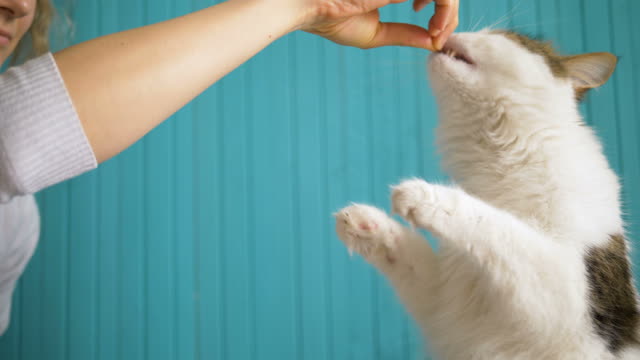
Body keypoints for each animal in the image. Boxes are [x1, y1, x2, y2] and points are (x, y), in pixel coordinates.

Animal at [332, 29, 640, 358]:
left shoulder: (567, 298)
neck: (500, 159)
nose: (459, 30)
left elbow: (499, 227)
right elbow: (409, 251)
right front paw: (367, 224)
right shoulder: (446, 303)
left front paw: (425, 196)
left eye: (500, 34)